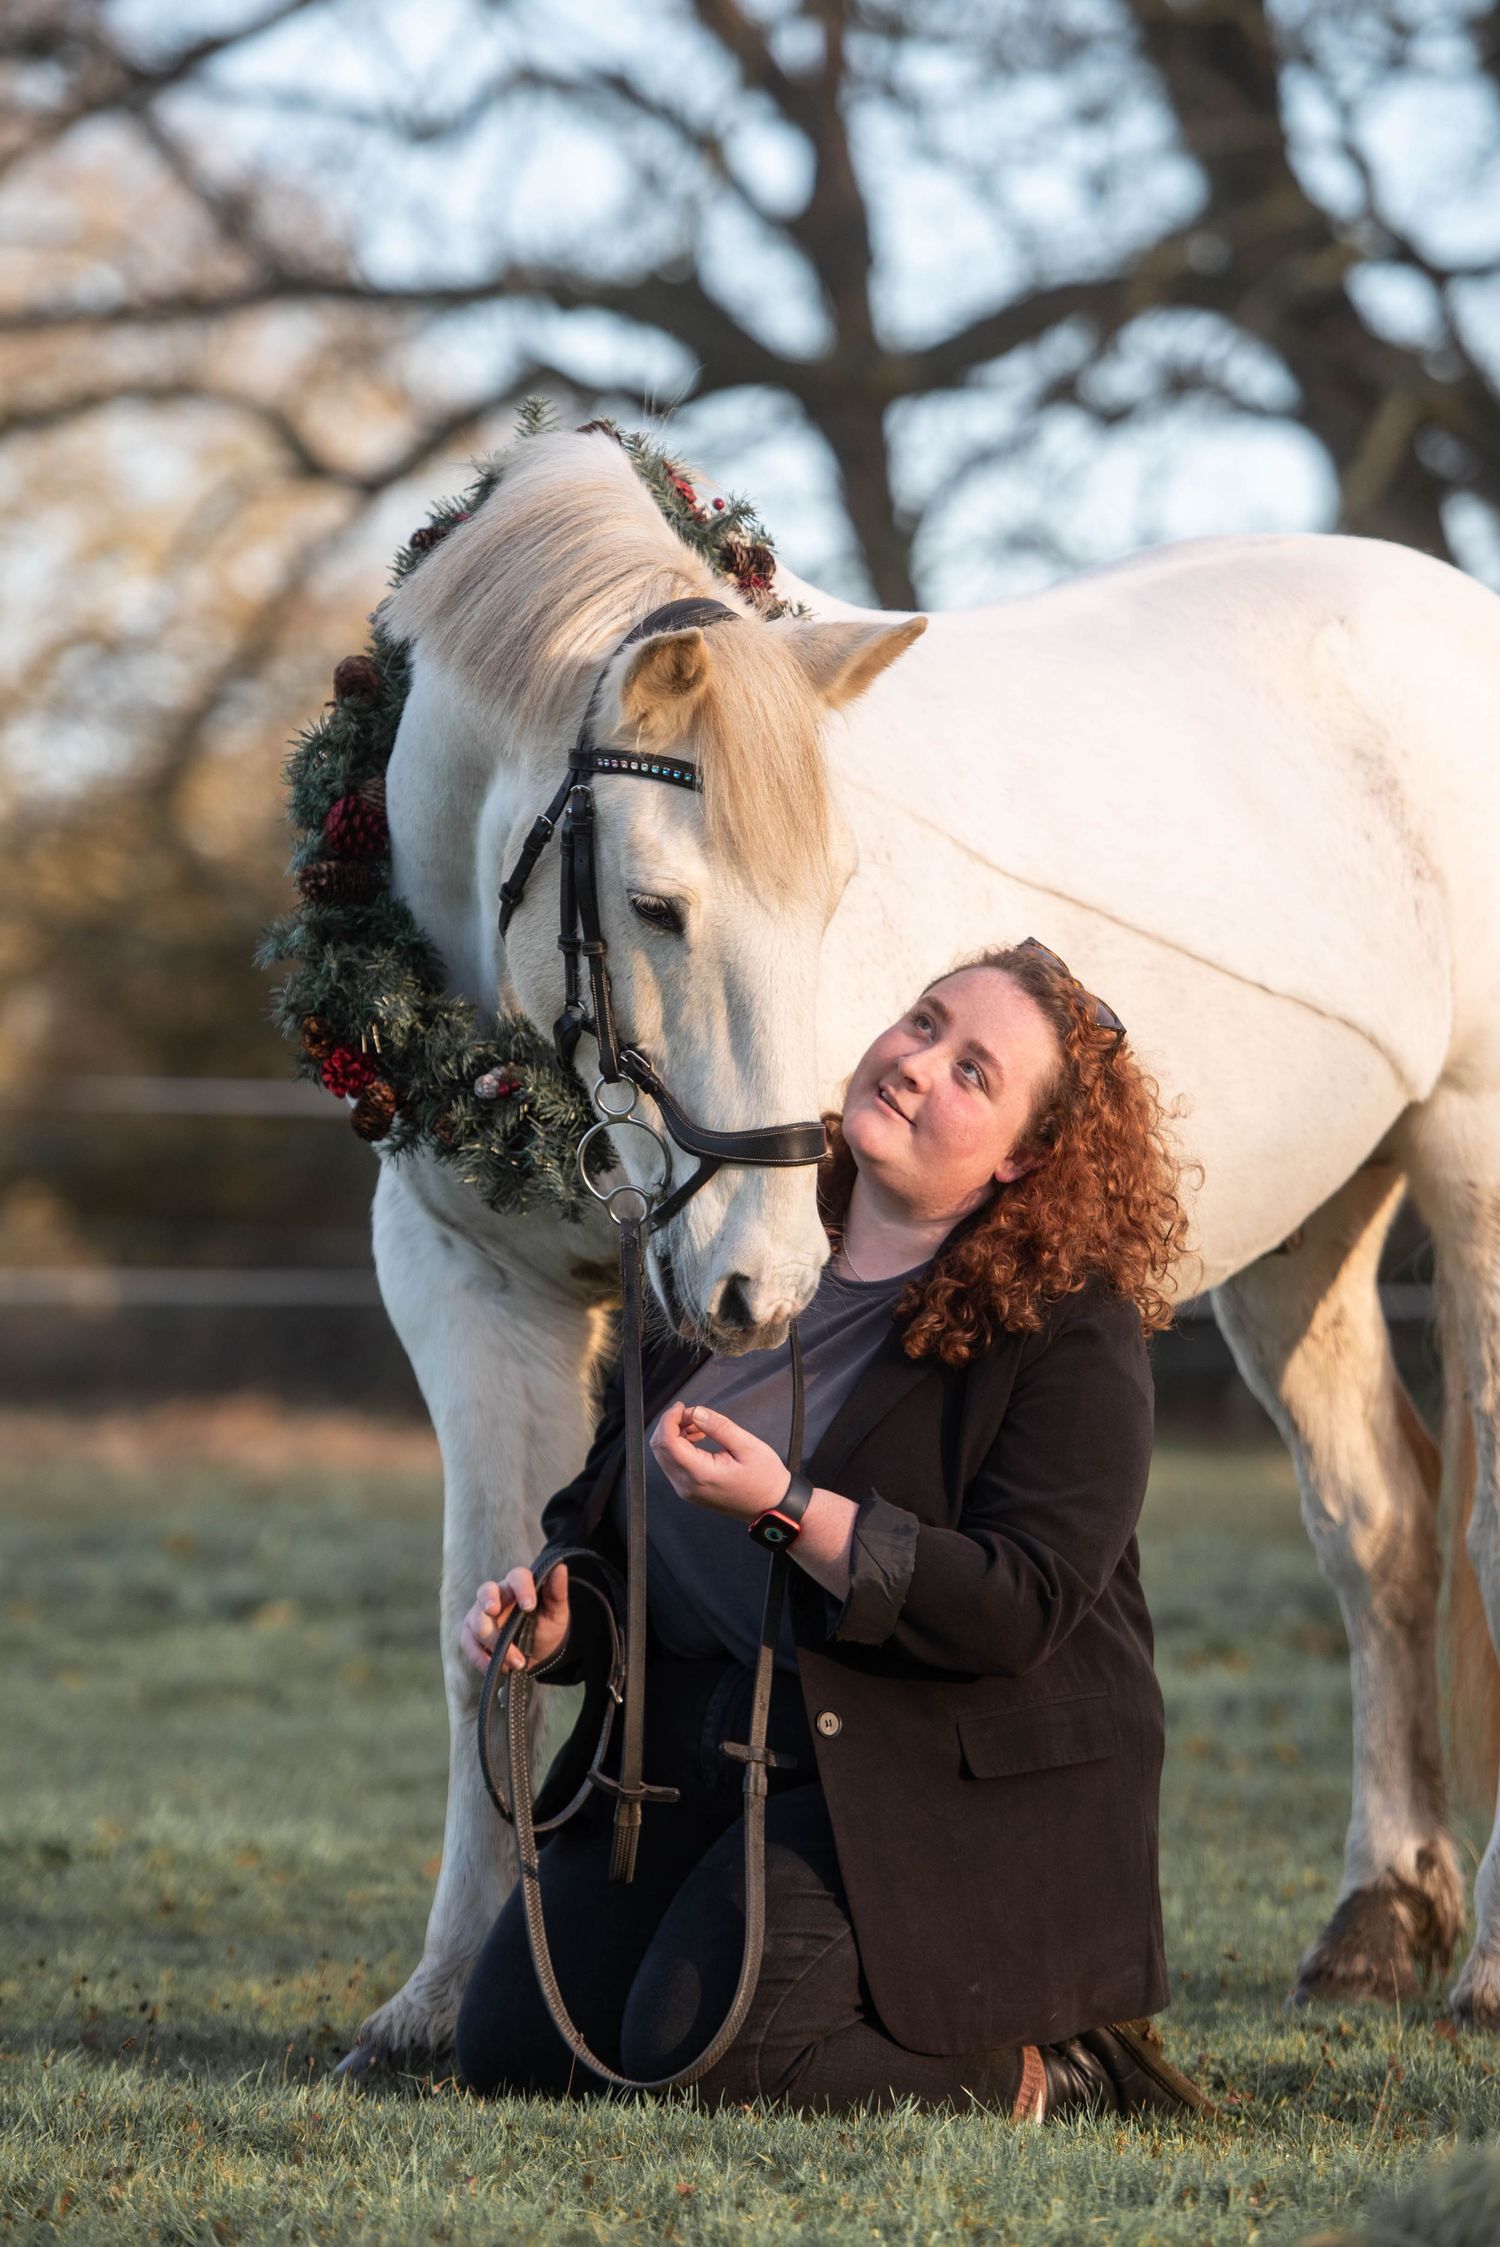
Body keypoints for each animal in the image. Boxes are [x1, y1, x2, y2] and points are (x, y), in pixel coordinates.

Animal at [345, 421, 1500, 2068]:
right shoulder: (466, 1285)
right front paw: (437, 1999)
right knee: (1380, 1532)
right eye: (656, 904)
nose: (761, 1284)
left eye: (835, 894)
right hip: (1304, 1241)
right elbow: (483, 1631)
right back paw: (1379, 1920)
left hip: (1472, 1166)